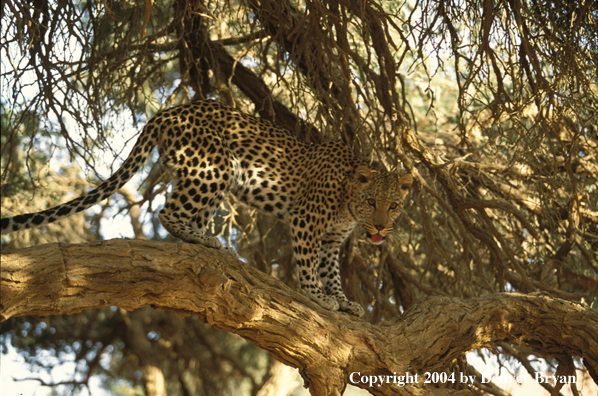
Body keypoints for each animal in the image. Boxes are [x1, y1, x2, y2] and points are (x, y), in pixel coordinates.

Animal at [1, 100, 412, 318]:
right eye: (372, 202)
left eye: (392, 206)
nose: (380, 228)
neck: (349, 204)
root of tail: (169, 110)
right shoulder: (307, 223)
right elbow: (309, 266)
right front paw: (318, 296)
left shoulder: (331, 239)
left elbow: (332, 271)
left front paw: (344, 301)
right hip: (214, 168)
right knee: (167, 212)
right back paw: (206, 241)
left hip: (207, 178)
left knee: (181, 213)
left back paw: (203, 240)